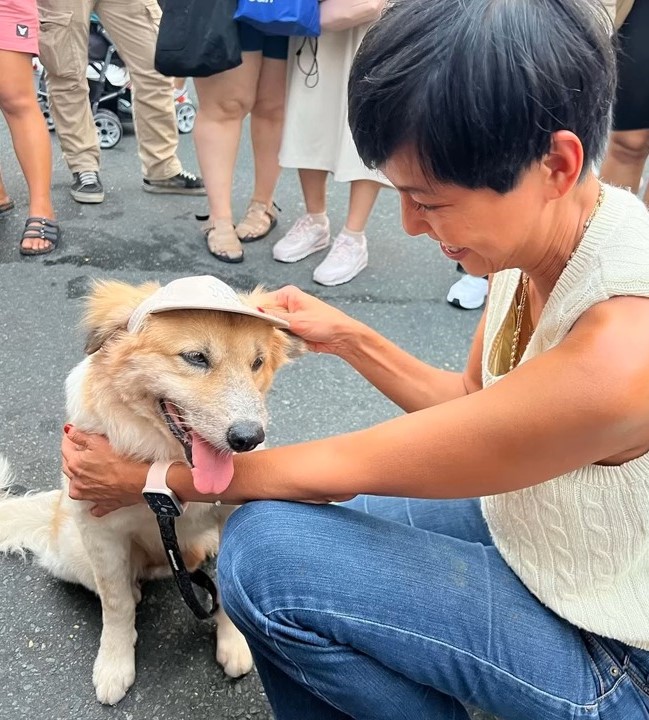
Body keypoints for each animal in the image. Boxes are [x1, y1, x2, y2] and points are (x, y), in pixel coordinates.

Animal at [0, 276, 300, 704]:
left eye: (257, 363)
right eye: (196, 357)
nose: (248, 438)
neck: (167, 459)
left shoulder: (231, 518)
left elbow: (227, 595)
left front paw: (234, 644)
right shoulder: (100, 532)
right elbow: (116, 603)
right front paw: (114, 663)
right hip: (76, 548)